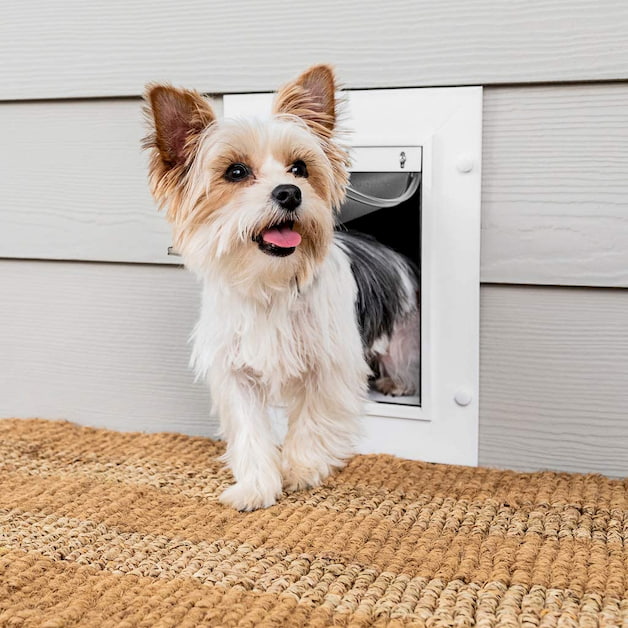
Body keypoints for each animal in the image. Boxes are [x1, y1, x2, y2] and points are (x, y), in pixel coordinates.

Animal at [145, 65, 420, 510]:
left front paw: (301, 470)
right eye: (236, 172)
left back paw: (397, 382)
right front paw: (256, 485)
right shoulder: (236, 371)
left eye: (300, 168)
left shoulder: (328, 366)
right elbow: (250, 431)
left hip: (403, 336)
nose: (289, 192)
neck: (269, 282)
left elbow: (312, 419)